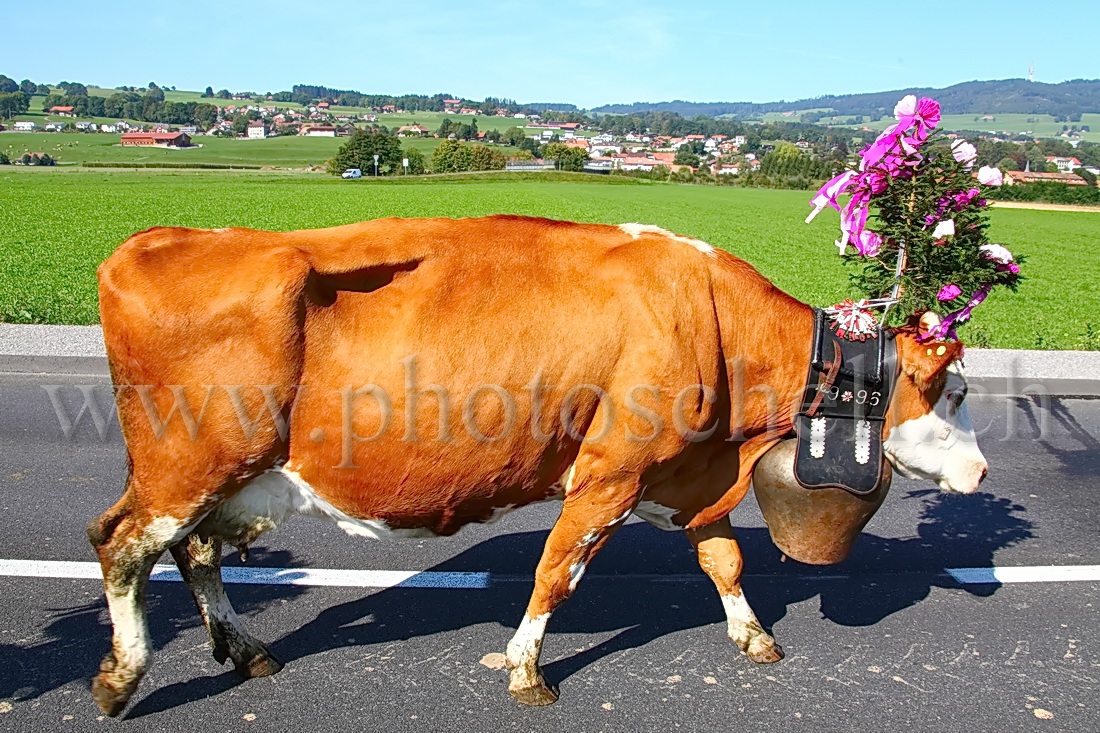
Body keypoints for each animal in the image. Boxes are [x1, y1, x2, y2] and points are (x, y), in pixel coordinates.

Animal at [88, 212, 990, 713]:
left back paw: (246, 650)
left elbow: (724, 559)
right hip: (185, 465)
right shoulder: (610, 472)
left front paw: (754, 634)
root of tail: (155, 239)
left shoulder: (688, 475)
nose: (983, 474)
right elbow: (558, 571)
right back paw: (122, 677)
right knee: (122, 544)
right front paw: (524, 668)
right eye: (951, 391)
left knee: (195, 552)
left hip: (228, 479)